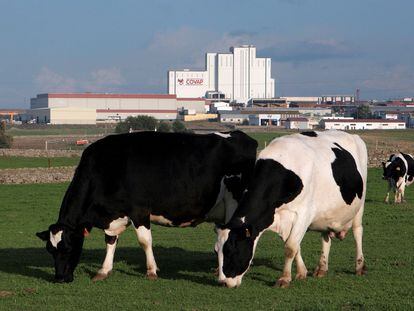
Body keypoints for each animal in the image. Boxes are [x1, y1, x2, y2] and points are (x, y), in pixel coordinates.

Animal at [35, 130, 258, 284]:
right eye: (50, 250)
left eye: (68, 247)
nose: (60, 278)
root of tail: (241, 136)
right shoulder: (114, 215)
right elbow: (110, 241)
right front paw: (103, 271)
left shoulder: (139, 210)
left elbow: (144, 241)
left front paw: (151, 271)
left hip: (234, 203)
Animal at [215, 130, 368, 288]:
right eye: (216, 251)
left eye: (232, 250)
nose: (222, 282)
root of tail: (352, 135)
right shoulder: (282, 218)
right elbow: (295, 246)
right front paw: (301, 272)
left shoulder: (303, 214)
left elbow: (290, 247)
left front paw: (285, 278)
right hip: (326, 214)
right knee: (325, 237)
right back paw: (322, 268)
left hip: (360, 206)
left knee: (357, 232)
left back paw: (359, 266)